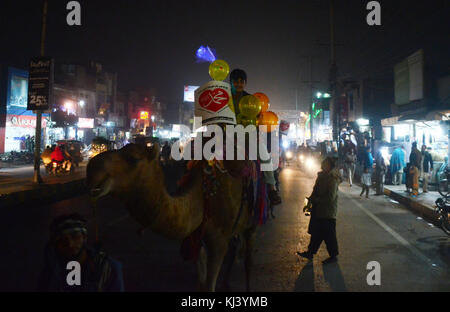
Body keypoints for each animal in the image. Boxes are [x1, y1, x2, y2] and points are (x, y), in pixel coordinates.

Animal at [86, 143, 256, 292]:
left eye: (133, 158)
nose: (92, 167)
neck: (203, 196)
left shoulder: (219, 241)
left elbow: (210, 285)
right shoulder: (196, 237)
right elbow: (201, 281)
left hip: (251, 223)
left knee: (248, 260)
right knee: (235, 247)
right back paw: (226, 283)